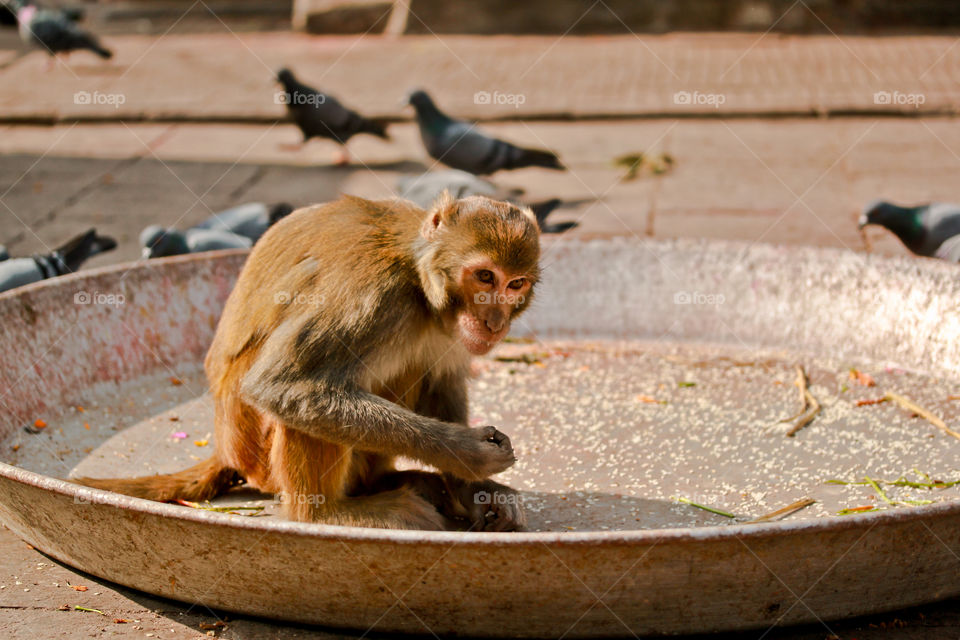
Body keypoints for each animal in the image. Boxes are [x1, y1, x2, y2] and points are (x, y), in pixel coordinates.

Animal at [75, 193, 541, 531]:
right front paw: (469, 455)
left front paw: (475, 489)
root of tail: (226, 447)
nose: (495, 322)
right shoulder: (371, 295)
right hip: (256, 451)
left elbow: (440, 383)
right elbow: (283, 384)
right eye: (484, 276)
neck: (419, 285)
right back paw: (328, 514)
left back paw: (388, 484)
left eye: (515, 284)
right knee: (303, 401)